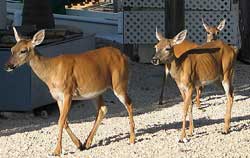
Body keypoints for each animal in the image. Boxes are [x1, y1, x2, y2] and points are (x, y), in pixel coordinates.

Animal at [3, 27, 136, 156]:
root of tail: (124, 56)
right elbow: (65, 121)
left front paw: (57, 151)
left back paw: (132, 139)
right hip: (95, 91)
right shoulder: (57, 97)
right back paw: (87, 143)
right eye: (12, 49)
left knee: (129, 103)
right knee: (103, 109)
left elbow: (61, 121)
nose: (8, 66)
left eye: (23, 51)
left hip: (119, 82)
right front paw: (78, 144)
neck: (51, 72)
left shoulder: (68, 92)